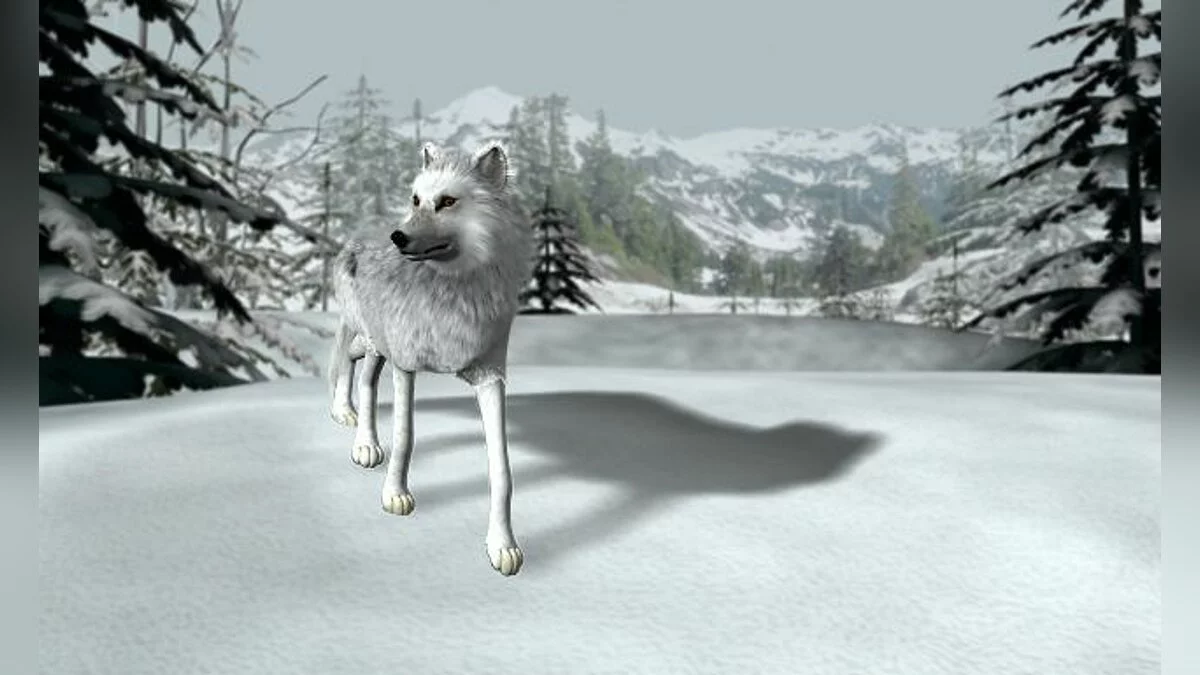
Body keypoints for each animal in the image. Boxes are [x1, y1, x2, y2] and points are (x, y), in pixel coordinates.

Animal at [326, 140, 533, 576]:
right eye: (417, 200)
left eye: (448, 202)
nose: (399, 237)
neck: (452, 293)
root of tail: (363, 228)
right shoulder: (406, 364)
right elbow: (405, 437)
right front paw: (395, 495)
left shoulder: (491, 376)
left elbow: (502, 471)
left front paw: (502, 545)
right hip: (377, 341)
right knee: (354, 369)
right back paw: (357, 434)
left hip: (377, 346)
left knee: (360, 372)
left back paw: (354, 426)